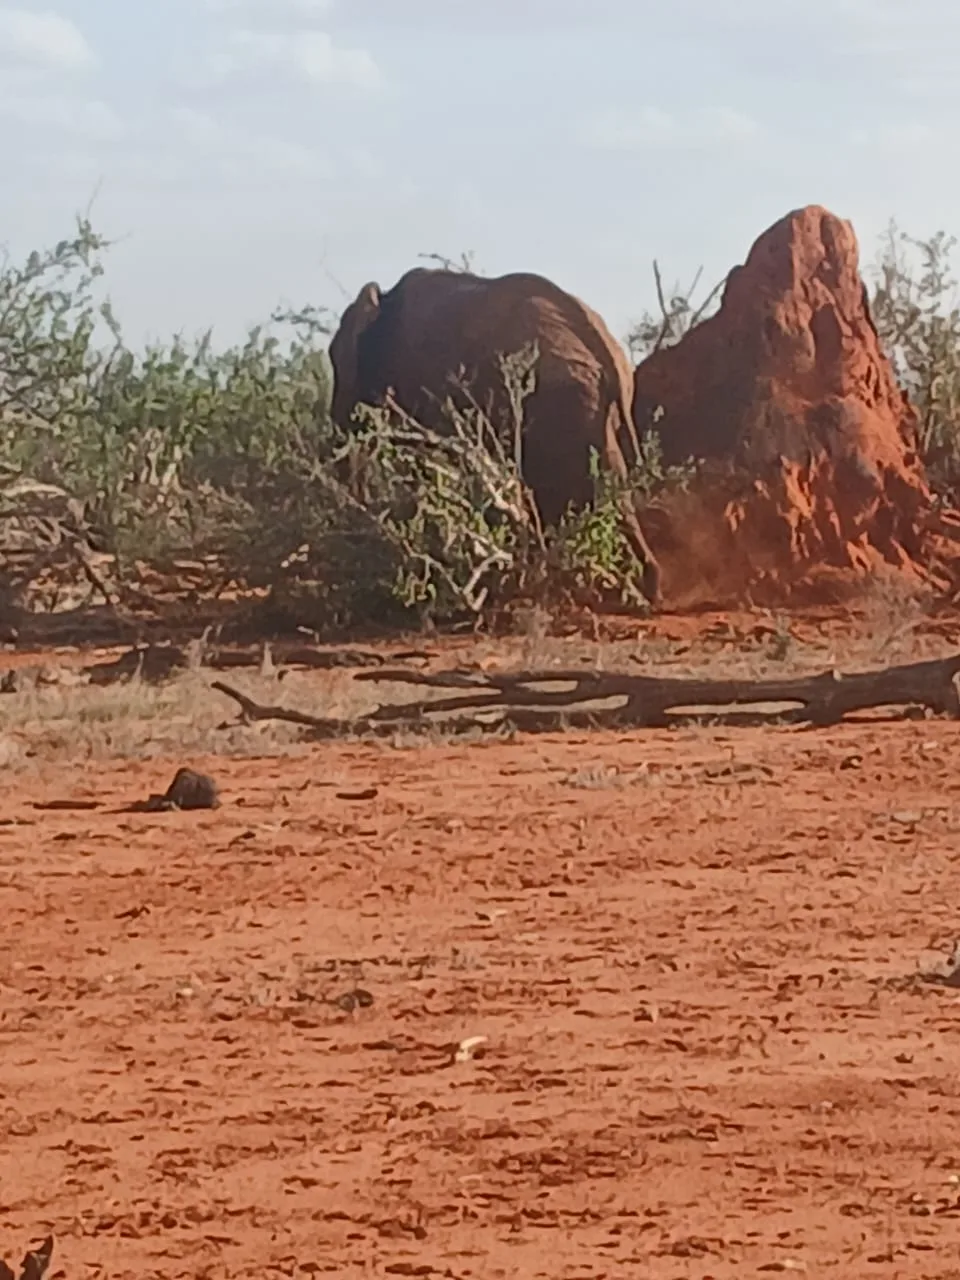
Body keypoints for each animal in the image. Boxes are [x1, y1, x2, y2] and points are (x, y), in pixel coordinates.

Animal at [328, 266, 662, 605]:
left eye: (334, 359)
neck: (383, 300)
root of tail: (608, 352)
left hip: (559, 405)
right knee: (609, 488)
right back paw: (640, 591)